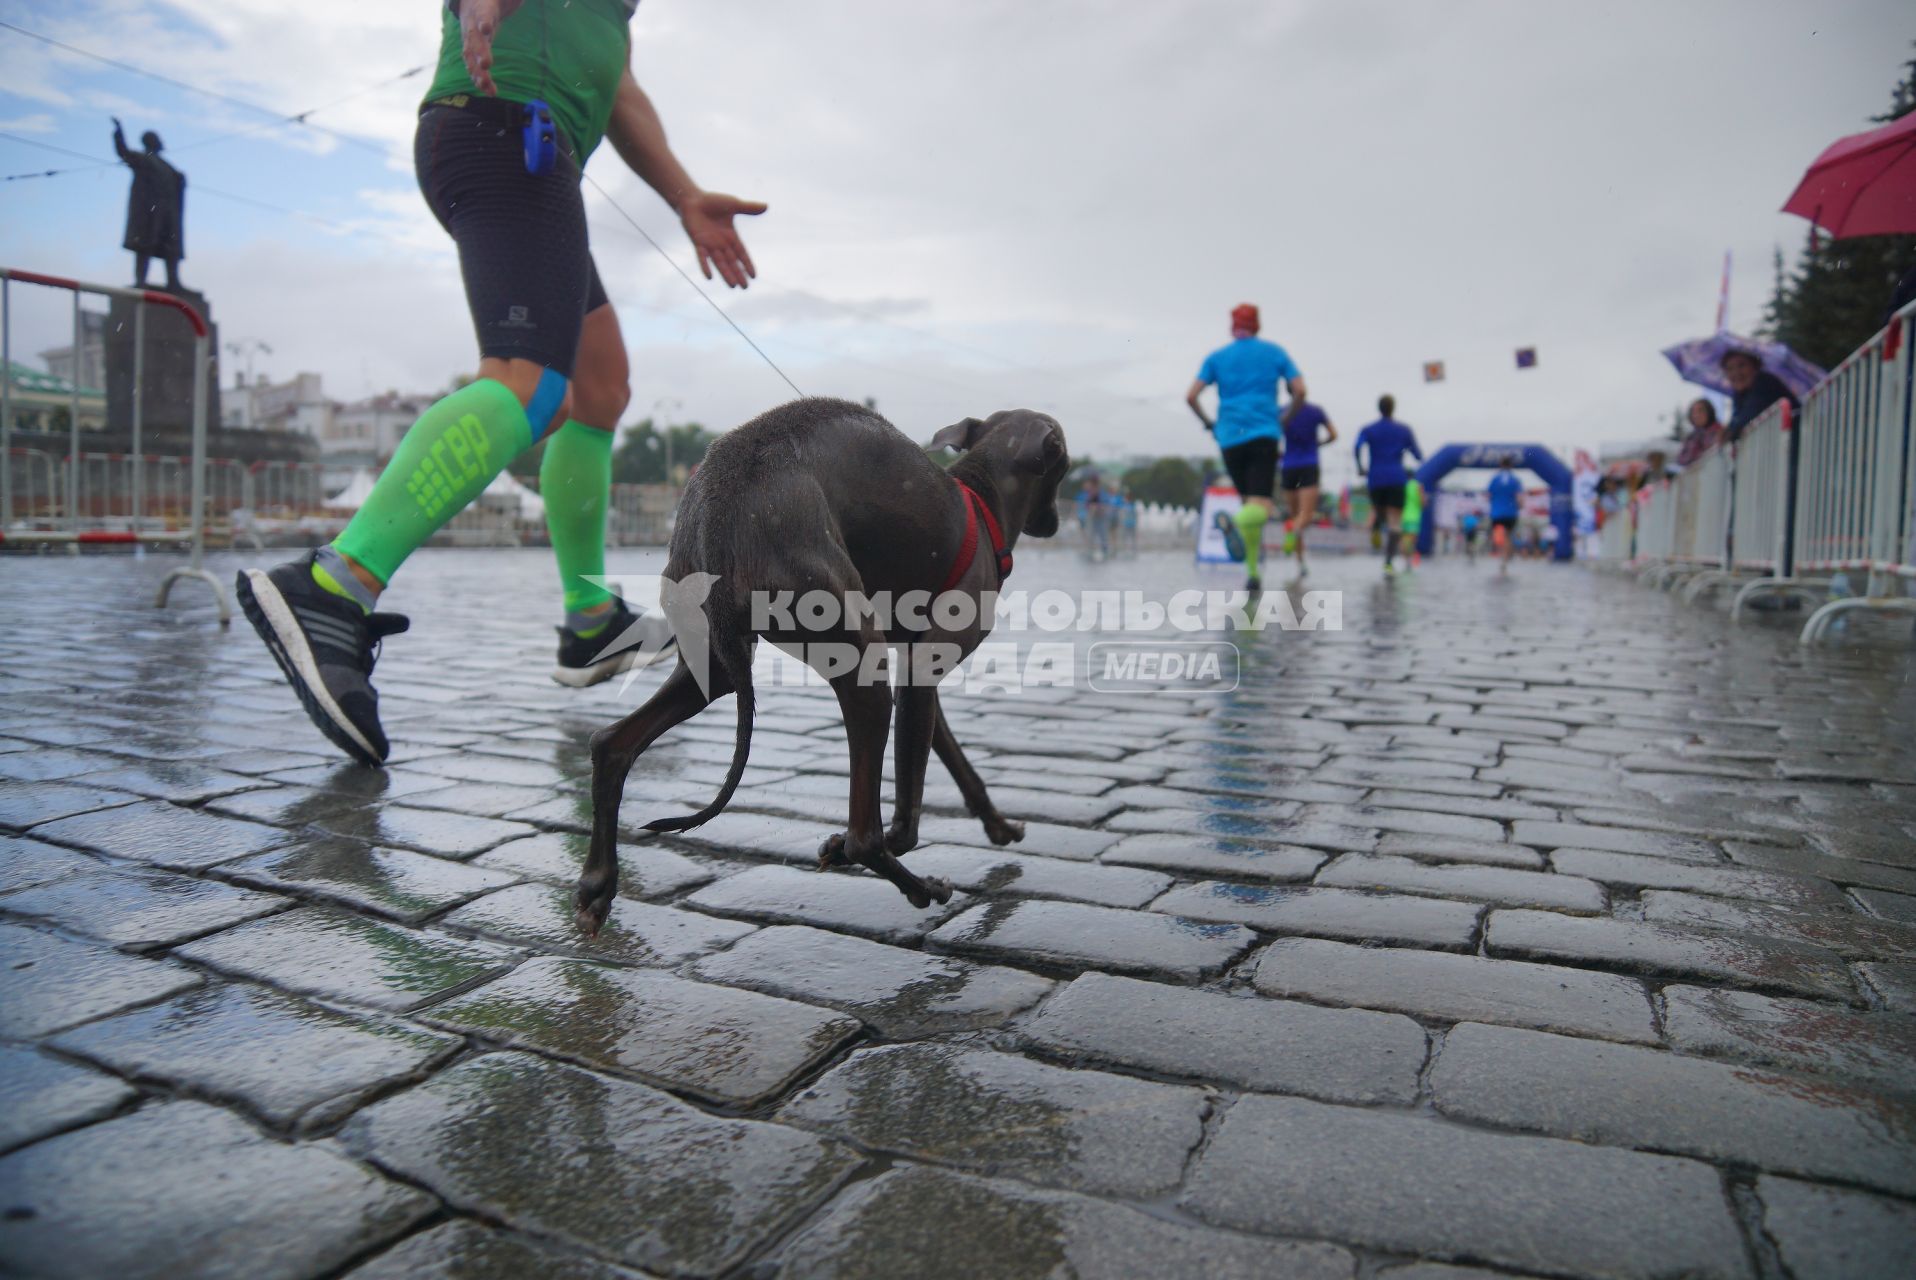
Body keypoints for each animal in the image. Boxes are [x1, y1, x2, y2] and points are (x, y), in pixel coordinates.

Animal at [567, 394, 1080, 935]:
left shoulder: (917, 680)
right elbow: (906, 818)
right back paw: (916, 885)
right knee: (865, 834)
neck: (983, 500)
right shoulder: (921, 672)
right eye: (1065, 465)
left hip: (714, 668)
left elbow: (960, 767)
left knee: (612, 744)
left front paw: (998, 826)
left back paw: (597, 884)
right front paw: (842, 849)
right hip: (860, 662)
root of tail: (719, 518)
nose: (1052, 523)